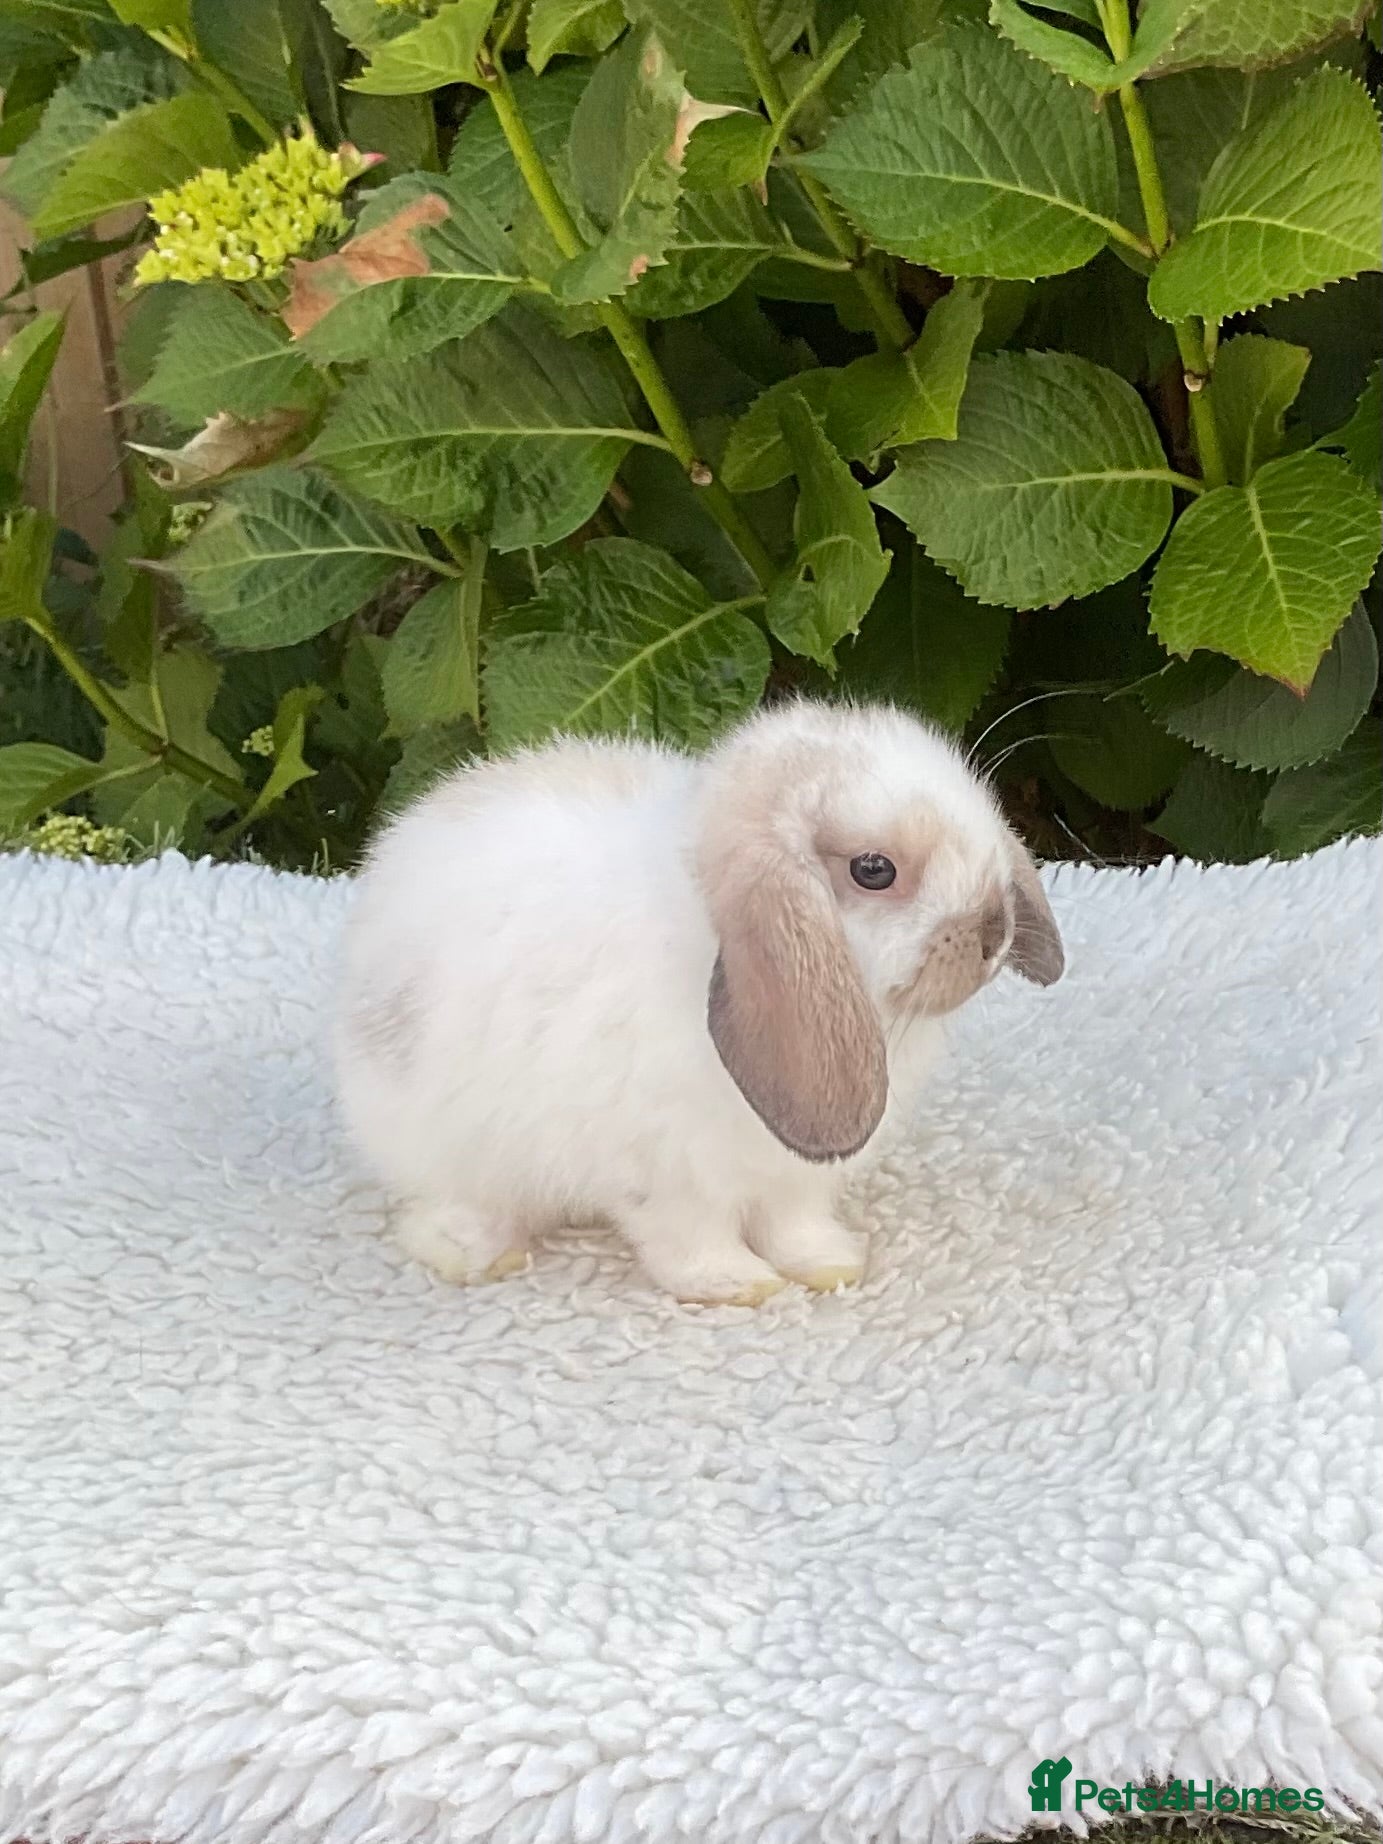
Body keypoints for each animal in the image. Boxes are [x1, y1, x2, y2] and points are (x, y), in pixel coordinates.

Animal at [334, 698, 1064, 1307]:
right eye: (873, 870)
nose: (994, 930)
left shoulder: (791, 1179)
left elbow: (795, 1226)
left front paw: (832, 1266)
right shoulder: (666, 1176)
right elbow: (689, 1240)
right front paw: (739, 1286)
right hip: (443, 1149)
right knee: (434, 1216)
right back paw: (484, 1254)